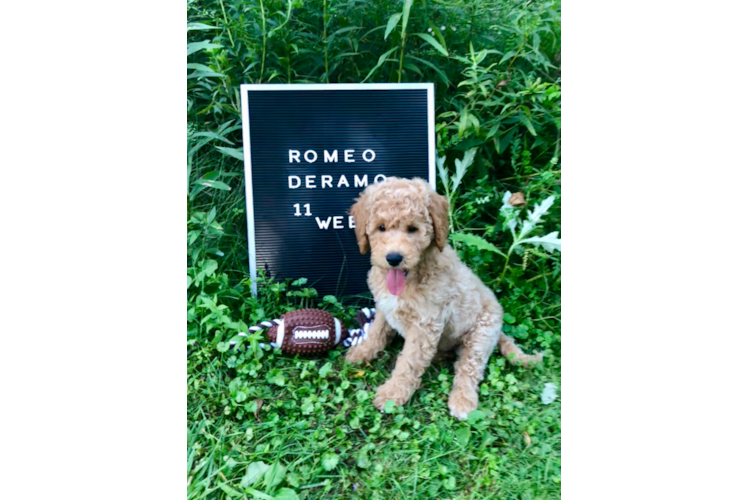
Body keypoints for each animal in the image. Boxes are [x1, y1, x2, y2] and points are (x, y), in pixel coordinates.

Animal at [348, 178, 540, 420]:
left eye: (412, 229)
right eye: (381, 227)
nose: (393, 258)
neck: (411, 276)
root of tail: (499, 331)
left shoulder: (424, 326)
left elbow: (408, 363)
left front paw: (392, 394)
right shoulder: (385, 307)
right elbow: (376, 332)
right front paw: (361, 351)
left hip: (481, 335)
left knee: (468, 368)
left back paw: (462, 401)